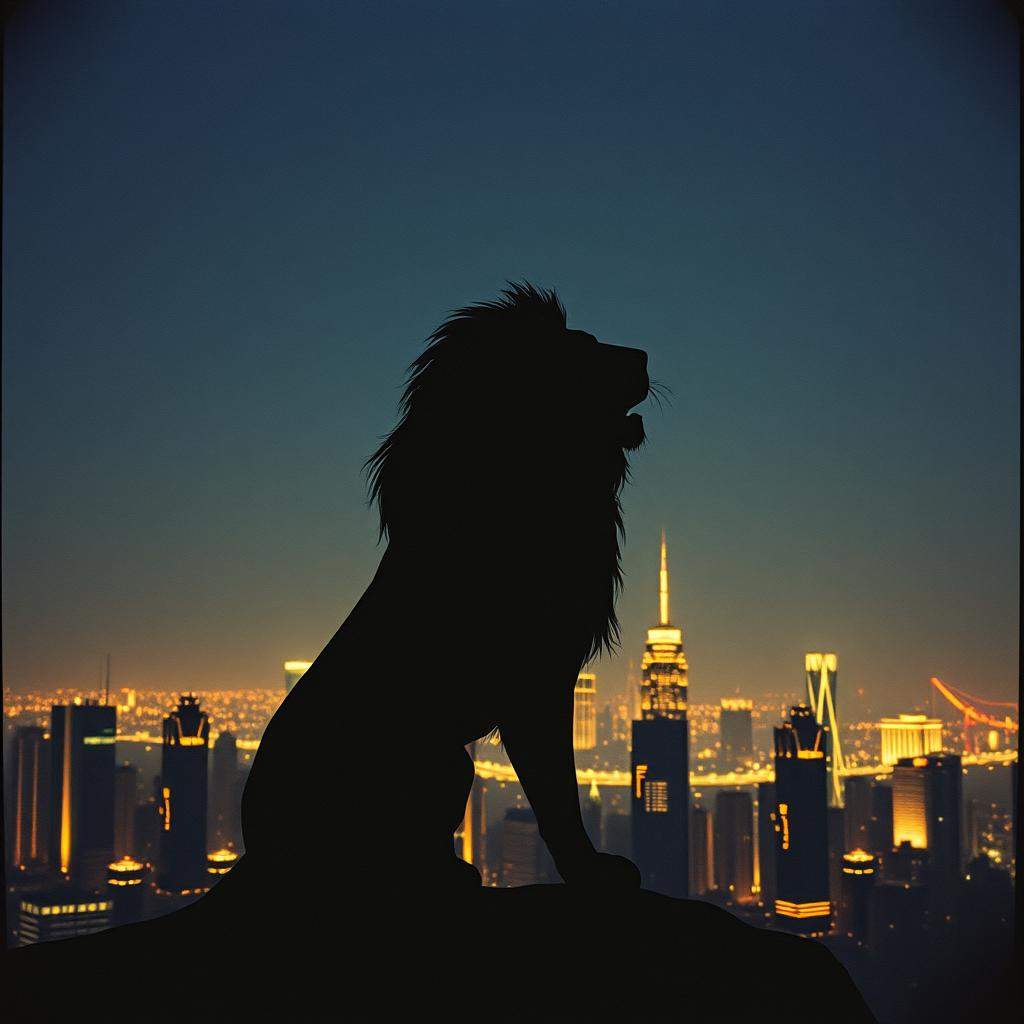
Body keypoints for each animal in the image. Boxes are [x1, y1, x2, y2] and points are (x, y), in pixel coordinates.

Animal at [239, 283, 648, 892]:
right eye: (583, 349)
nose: (644, 357)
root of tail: (254, 850)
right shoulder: (533, 685)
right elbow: (558, 792)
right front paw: (589, 868)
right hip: (443, 759)